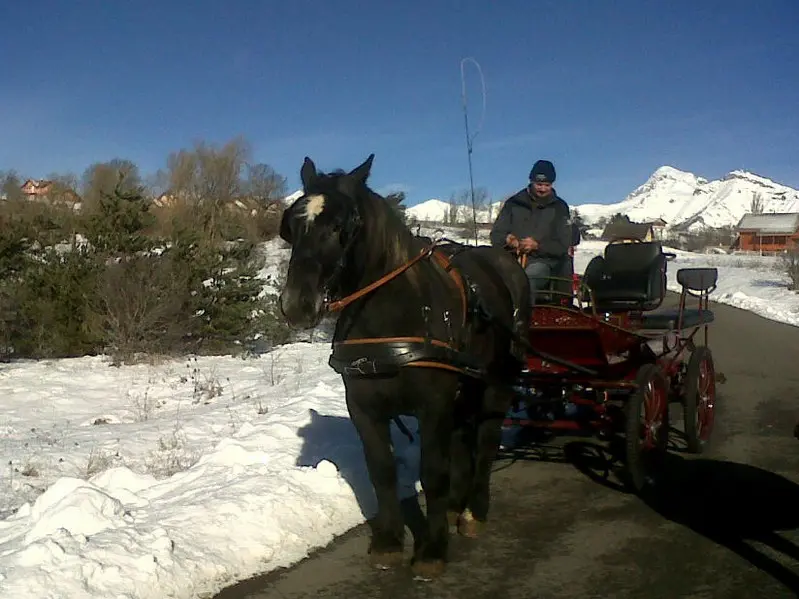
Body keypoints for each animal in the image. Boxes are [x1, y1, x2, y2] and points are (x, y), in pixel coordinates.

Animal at [278, 155, 528, 580]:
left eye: (342, 225)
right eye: (292, 226)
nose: (298, 304)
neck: (391, 319)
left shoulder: (433, 406)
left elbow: (433, 472)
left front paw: (432, 549)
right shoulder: (364, 407)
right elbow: (382, 472)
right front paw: (390, 543)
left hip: (497, 384)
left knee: (485, 441)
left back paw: (473, 512)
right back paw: (456, 507)